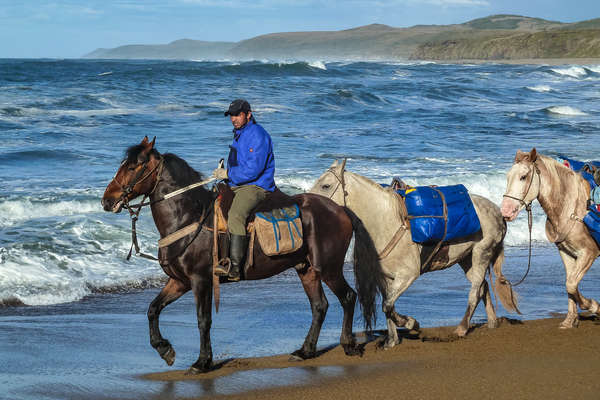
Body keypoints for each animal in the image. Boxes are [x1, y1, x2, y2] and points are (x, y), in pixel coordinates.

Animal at [101, 136, 360, 374]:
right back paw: (305, 351)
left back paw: (348, 344)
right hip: (306, 269)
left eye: (133, 167)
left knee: (348, 297)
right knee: (319, 306)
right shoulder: (179, 281)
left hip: (329, 268)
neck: (188, 216)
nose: (107, 200)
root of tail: (340, 210)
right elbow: (153, 309)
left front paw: (202, 362)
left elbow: (203, 320)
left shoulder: (201, 280)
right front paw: (165, 349)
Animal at [312, 161, 516, 348]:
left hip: (482, 253)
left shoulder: (408, 275)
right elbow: (388, 305)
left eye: (326, 185)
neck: (386, 221)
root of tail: (498, 212)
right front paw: (392, 340)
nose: (311, 202)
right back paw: (492, 322)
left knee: (475, 292)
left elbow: (388, 305)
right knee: (483, 286)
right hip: (467, 260)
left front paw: (411, 323)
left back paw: (462, 328)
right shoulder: (385, 278)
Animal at [502, 148, 600, 330]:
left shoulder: (589, 253)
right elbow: (569, 284)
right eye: (508, 176)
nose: (506, 211)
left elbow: (571, 284)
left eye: (523, 176)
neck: (573, 207)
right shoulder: (566, 252)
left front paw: (594, 306)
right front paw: (570, 320)